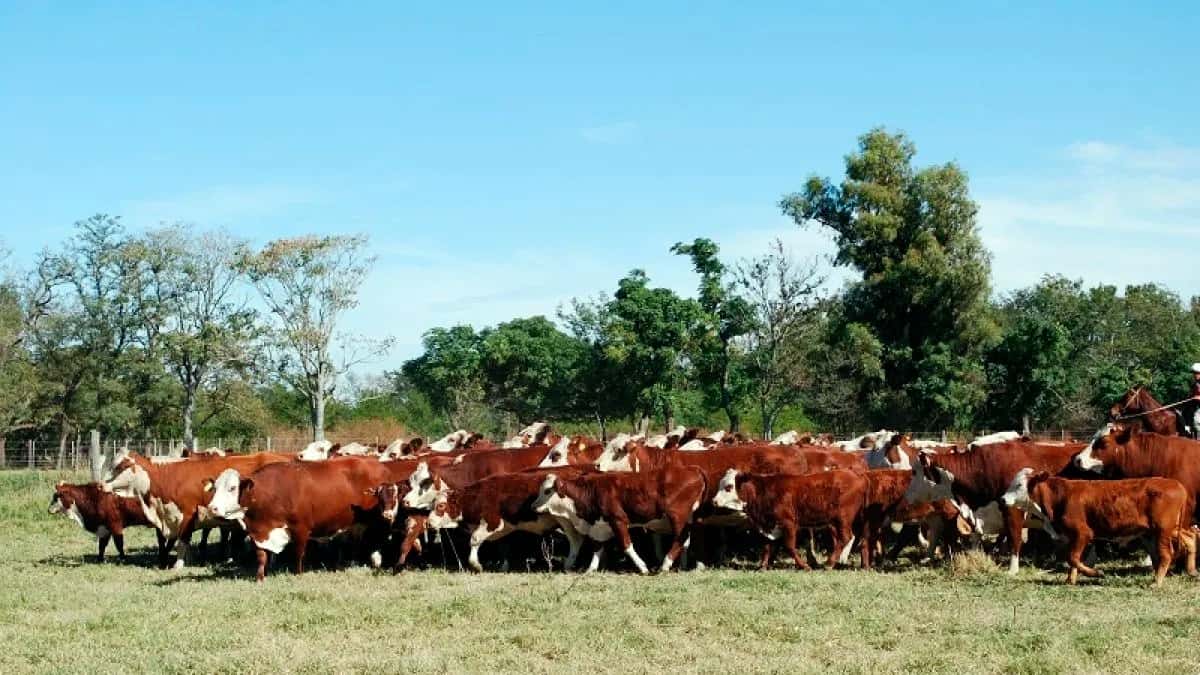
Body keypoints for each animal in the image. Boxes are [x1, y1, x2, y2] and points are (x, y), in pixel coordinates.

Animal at [532, 464, 706, 574]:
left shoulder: (618, 520)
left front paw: (643, 567)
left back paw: (665, 565)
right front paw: (590, 569)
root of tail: (692, 468)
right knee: (686, 540)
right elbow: (597, 548)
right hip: (686, 518)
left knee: (681, 537)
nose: (533, 507)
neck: (592, 491)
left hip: (677, 515)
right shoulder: (598, 527)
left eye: (547, 491)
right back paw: (681, 565)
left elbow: (626, 545)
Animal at [712, 469, 867, 571]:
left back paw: (829, 563)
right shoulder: (770, 525)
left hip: (843, 519)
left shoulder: (789, 523)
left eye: (729, 487)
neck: (764, 491)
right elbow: (767, 546)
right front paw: (762, 566)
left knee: (845, 537)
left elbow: (789, 546)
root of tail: (856, 475)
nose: (714, 501)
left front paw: (804, 566)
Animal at [1002, 468, 1197, 585]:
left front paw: (1097, 573)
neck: (1060, 496)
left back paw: (1156, 582)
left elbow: (1073, 558)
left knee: (1166, 555)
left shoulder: (1083, 533)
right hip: (1169, 528)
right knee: (1191, 537)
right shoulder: (1072, 536)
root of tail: (1175, 484)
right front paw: (1069, 580)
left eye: (1019, 485)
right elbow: (1071, 559)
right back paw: (1191, 570)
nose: (1003, 499)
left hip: (1162, 530)